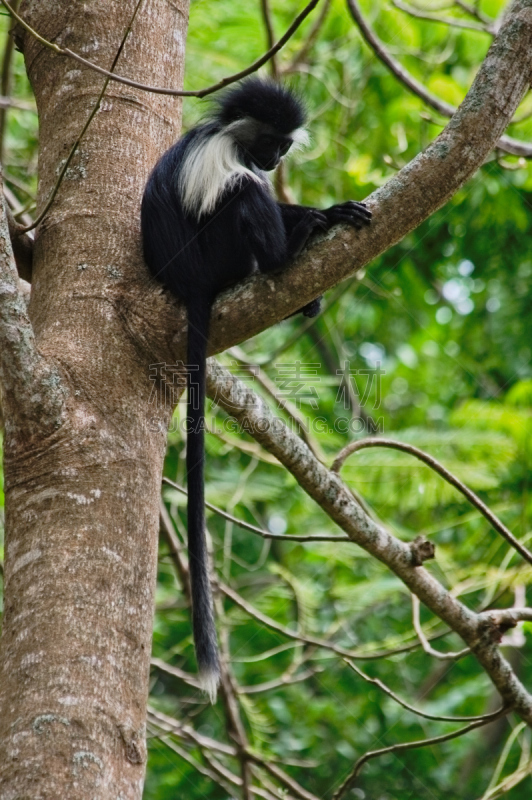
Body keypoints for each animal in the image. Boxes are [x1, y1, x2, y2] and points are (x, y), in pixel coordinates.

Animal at [142, 76, 374, 700]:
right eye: (271, 141)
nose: (273, 160)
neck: (232, 135)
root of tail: (187, 283)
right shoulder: (225, 158)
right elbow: (244, 190)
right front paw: (309, 225)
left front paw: (328, 211)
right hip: (217, 254)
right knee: (244, 196)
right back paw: (284, 256)